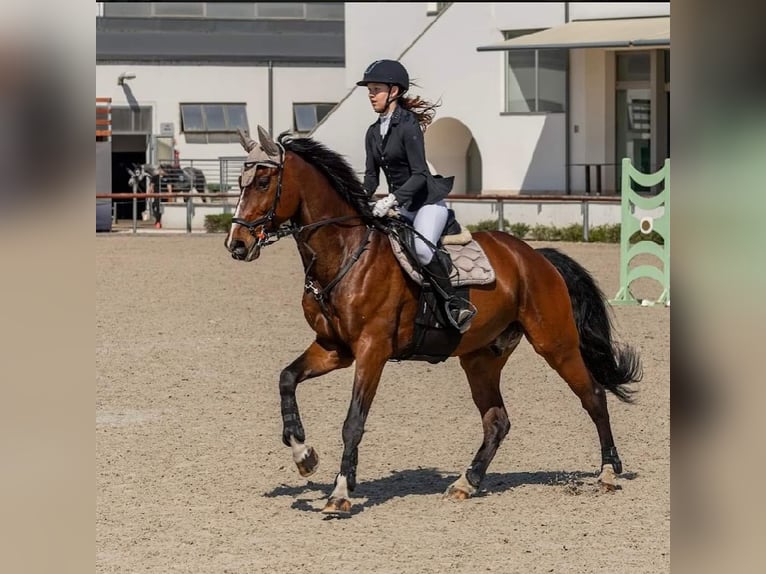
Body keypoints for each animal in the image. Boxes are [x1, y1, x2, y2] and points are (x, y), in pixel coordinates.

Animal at [225, 127, 644, 516]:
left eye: (263, 182)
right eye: (241, 183)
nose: (237, 245)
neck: (344, 254)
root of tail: (536, 257)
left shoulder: (372, 350)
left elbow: (353, 421)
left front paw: (340, 493)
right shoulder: (334, 349)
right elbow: (287, 379)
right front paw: (304, 455)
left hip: (554, 343)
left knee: (593, 396)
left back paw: (608, 472)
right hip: (481, 358)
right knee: (497, 420)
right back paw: (466, 482)